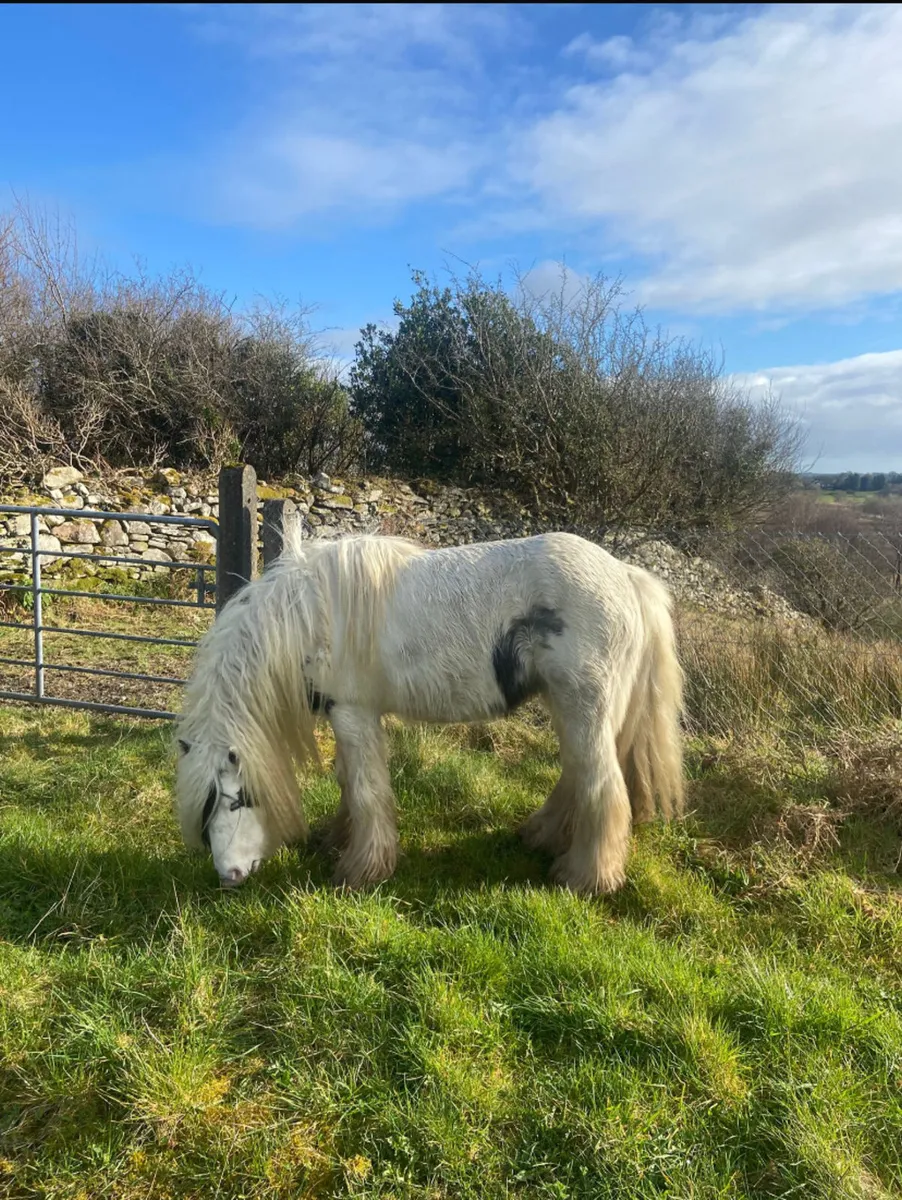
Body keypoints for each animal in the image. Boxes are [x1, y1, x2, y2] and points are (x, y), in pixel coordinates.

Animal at [174, 530, 684, 895]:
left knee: (602, 785)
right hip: (569, 705)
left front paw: (361, 870)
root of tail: (627, 575)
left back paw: (585, 877)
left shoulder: (353, 713)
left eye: (236, 799)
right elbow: (348, 782)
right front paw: (339, 840)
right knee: (578, 774)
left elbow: (365, 788)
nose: (229, 876)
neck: (307, 615)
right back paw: (543, 837)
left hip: (584, 706)